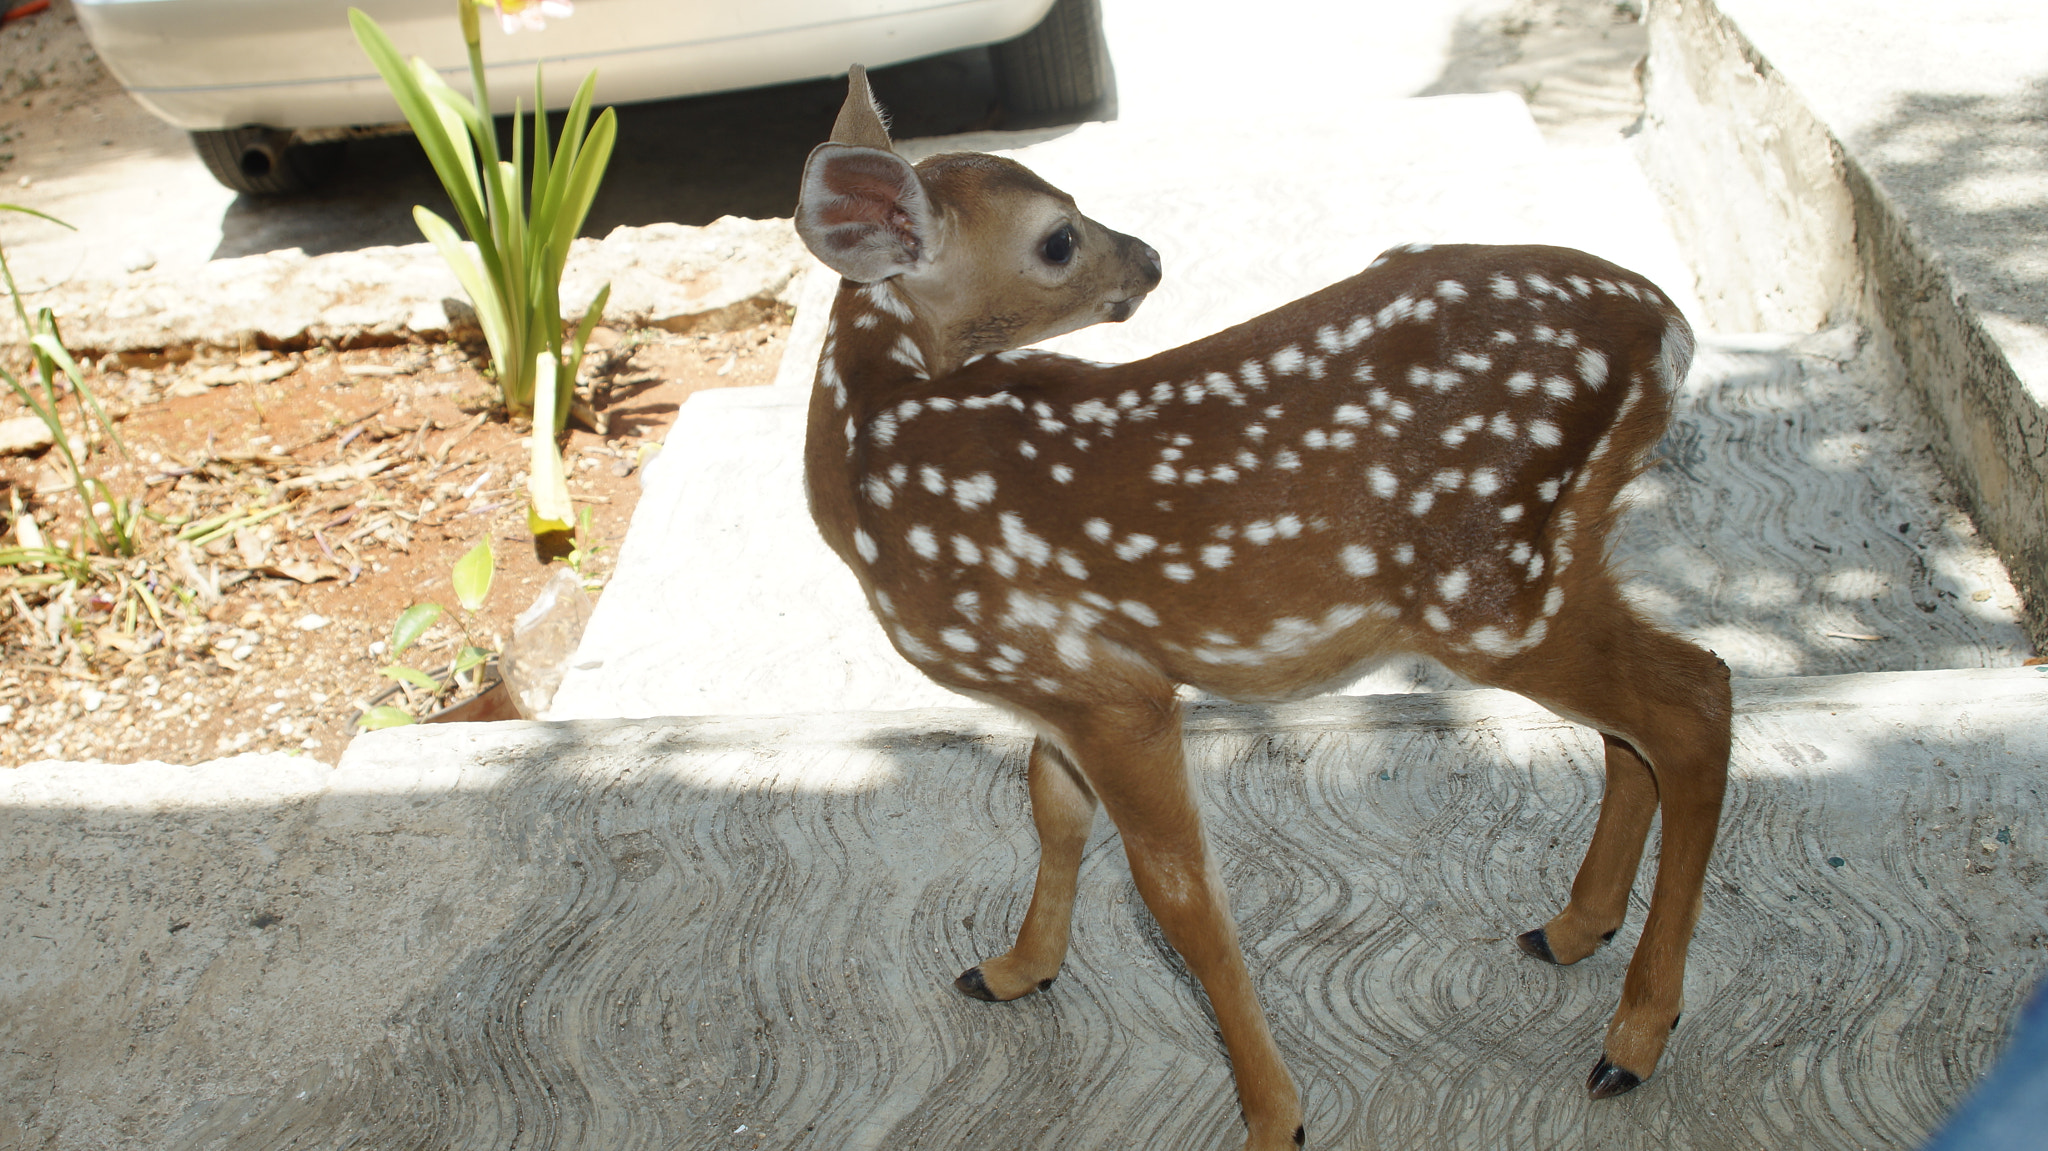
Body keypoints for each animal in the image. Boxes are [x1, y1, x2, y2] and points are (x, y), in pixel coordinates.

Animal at [794, 67, 1728, 1138]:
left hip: (1487, 586)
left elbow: (1179, 895)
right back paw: (1573, 928)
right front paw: (1013, 968)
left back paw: (1633, 1039)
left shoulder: (1109, 690)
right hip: (1557, 557)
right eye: (1058, 237)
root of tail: (1669, 327)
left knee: (1695, 699)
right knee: (1642, 724)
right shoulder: (1062, 677)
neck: (877, 457)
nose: (1153, 258)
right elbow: (1053, 809)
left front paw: (1277, 1116)